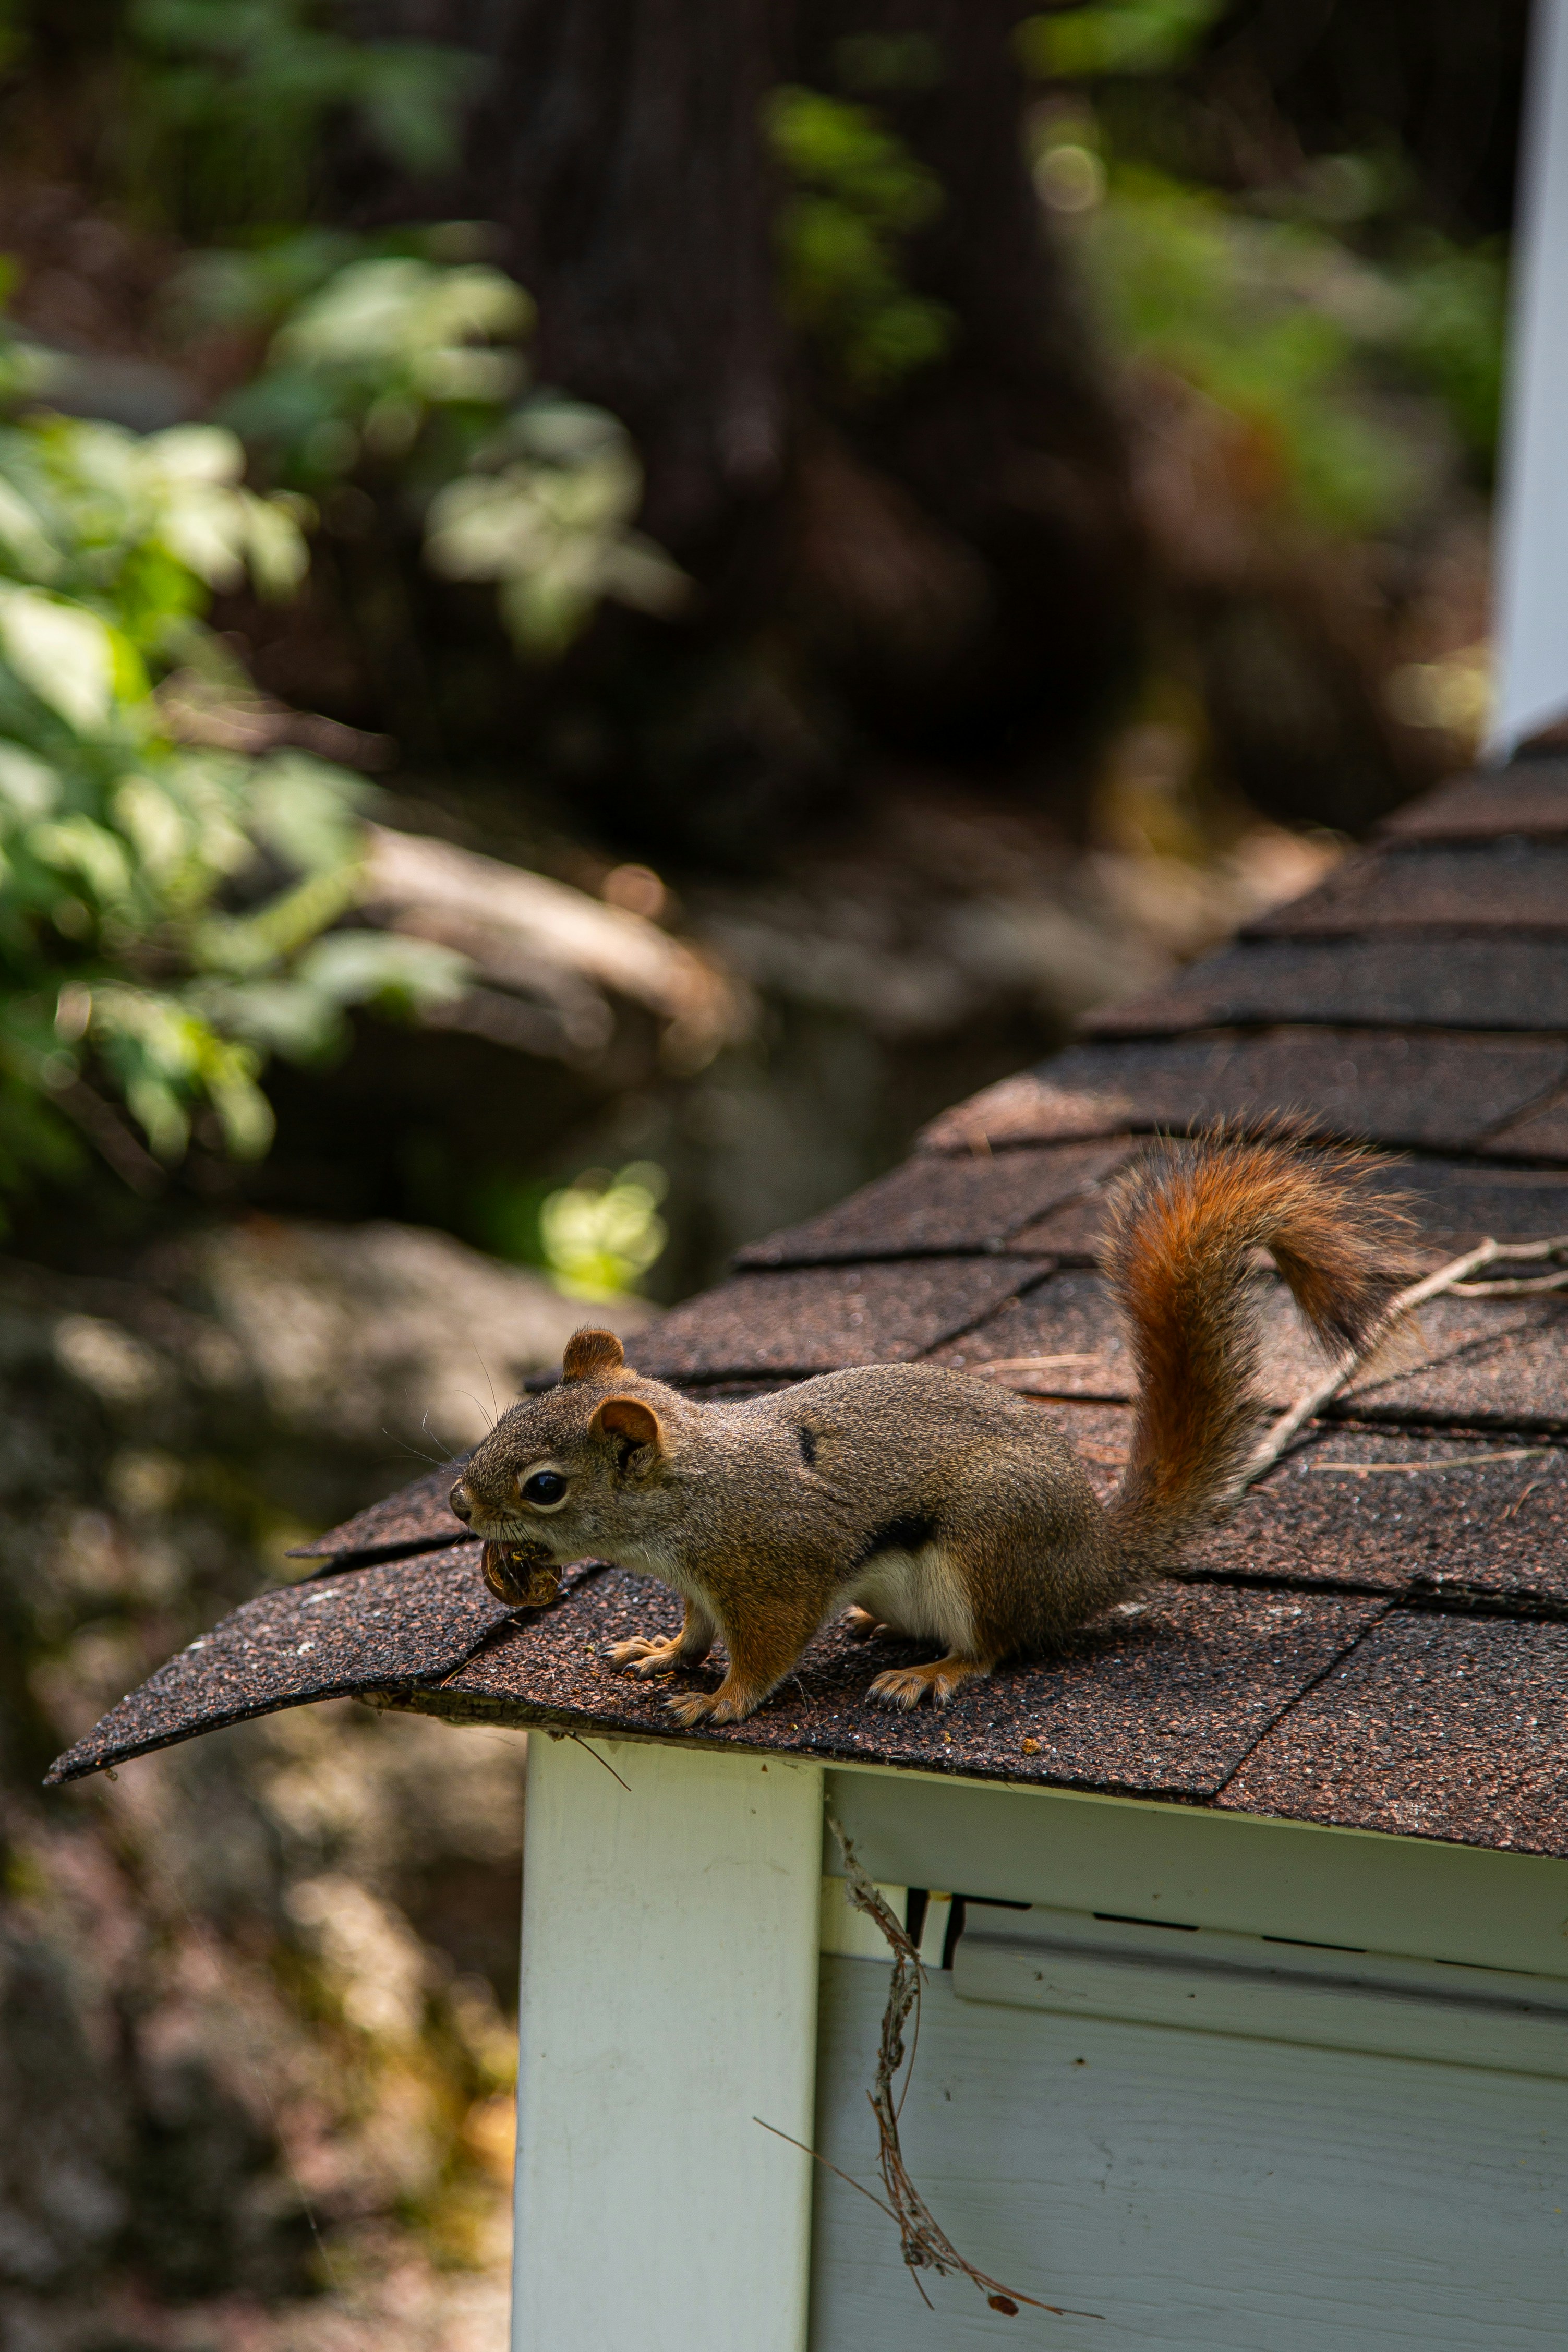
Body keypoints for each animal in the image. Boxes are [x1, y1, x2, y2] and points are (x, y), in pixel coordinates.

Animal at [449, 1126, 1409, 1727]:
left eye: (544, 1486)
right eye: (507, 1417)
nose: (460, 1504)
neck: (693, 1500)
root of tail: (1091, 1560)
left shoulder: (771, 1575)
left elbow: (763, 1652)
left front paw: (721, 1699)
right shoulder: (700, 1584)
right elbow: (694, 1629)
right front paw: (662, 1653)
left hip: (984, 1546)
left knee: (996, 1646)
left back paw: (931, 1669)